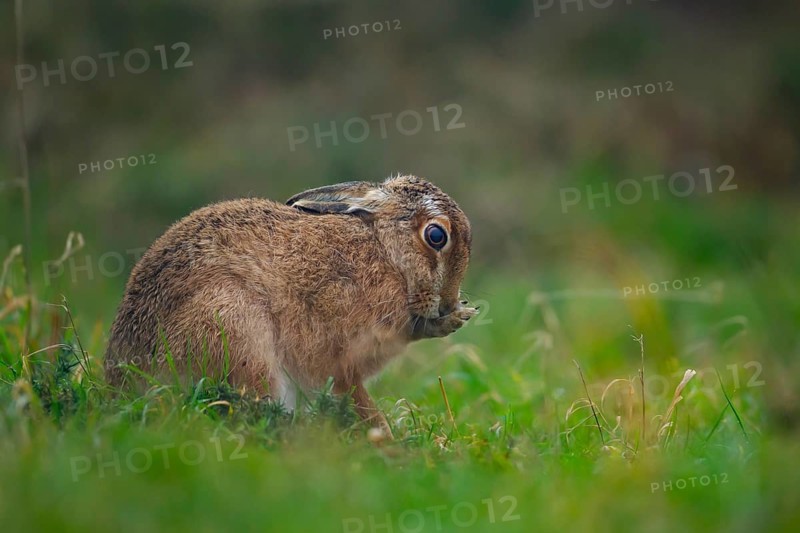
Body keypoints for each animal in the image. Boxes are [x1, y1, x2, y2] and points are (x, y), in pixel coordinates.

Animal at [104, 174, 478, 433]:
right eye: (436, 236)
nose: (446, 305)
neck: (388, 255)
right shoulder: (340, 356)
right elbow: (354, 393)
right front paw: (383, 435)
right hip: (235, 328)